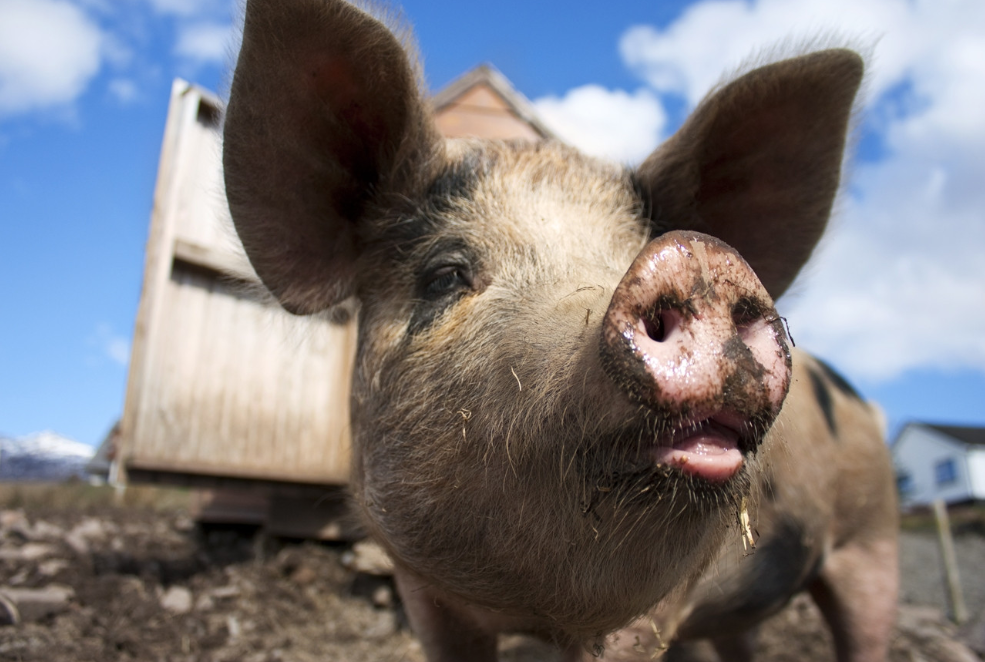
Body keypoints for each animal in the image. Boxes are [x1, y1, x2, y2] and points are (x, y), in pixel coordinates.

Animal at [223, 1, 900, 662]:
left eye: (632, 250)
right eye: (444, 274)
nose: (700, 259)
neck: (520, 611)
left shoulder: (649, 616)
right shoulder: (424, 598)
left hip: (874, 540)